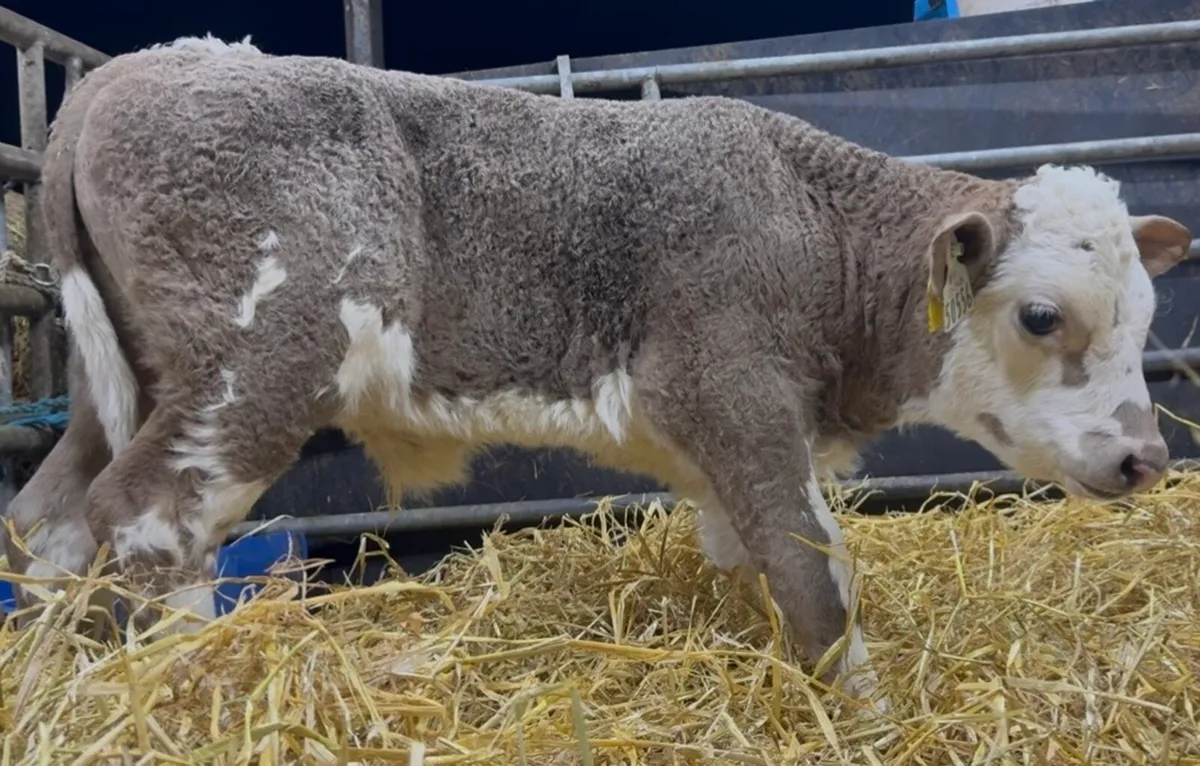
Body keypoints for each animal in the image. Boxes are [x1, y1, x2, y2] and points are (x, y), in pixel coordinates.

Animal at [1, 35, 1190, 710]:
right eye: (1042, 315)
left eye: (1146, 316)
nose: (1146, 457)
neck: (811, 217)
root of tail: (125, 74)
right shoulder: (735, 390)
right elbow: (814, 575)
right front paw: (867, 718)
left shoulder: (715, 441)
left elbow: (746, 556)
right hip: (256, 361)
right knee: (152, 517)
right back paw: (188, 677)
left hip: (127, 383)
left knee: (50, 520)